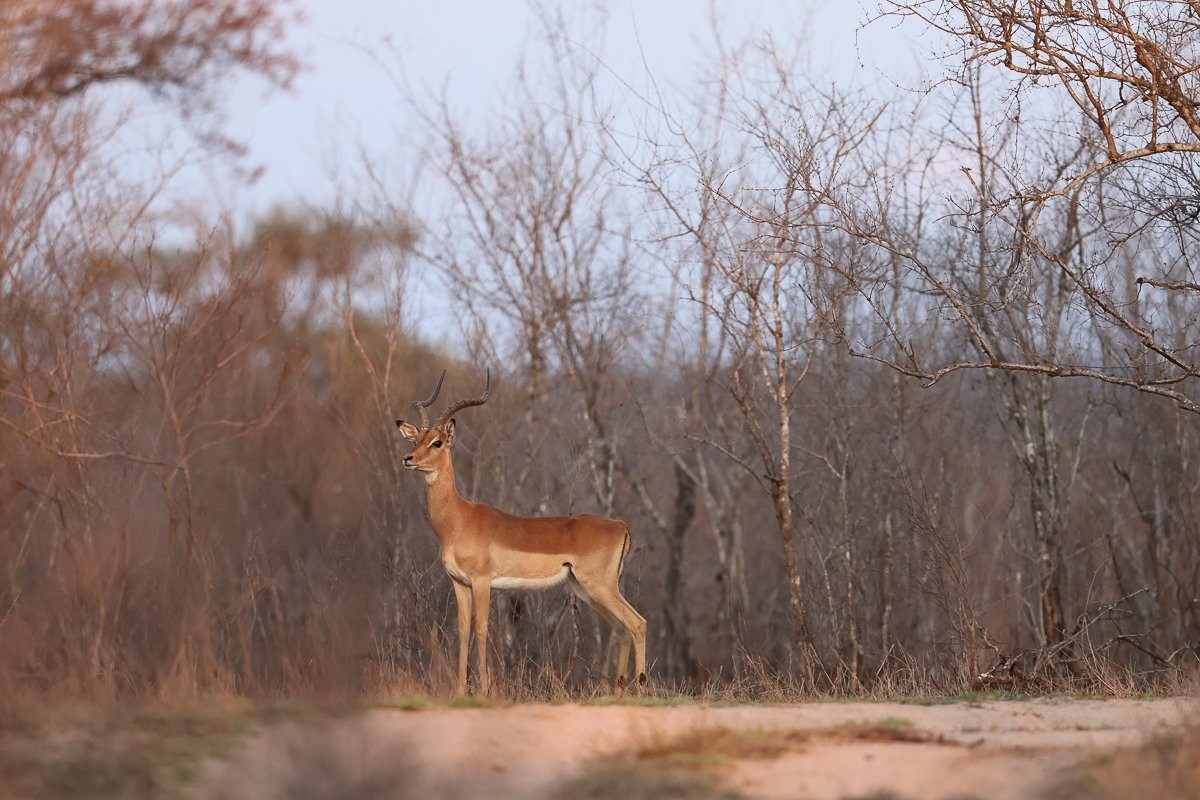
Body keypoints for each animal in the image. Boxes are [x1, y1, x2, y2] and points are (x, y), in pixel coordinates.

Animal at [396, 369, 647, 696]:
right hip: (585, 588)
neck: (458, 519)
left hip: (600, 586)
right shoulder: (459, 583)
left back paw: (644, 688)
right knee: (621, 629)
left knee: (637, 623)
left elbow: (481, 629)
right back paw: (617, 691)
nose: (408, 458)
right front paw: (460, 692)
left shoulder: (482, 582)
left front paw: (484, 691)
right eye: (417, 438)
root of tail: (621, 525)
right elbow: (462, 631)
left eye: (437, 442)